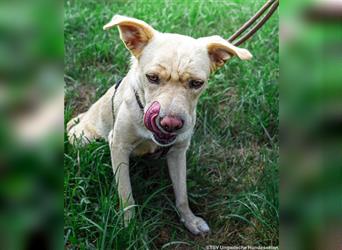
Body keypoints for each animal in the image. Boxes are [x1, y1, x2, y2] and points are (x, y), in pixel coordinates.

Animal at [67, 15, 251, 234]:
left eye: (197, 83)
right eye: (152, 77)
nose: (170, 123)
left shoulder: (178, 152)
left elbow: (182, 194)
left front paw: (190, 220)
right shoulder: (119, 146)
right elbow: (126, 195)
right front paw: (129, 227)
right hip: (85, 139)